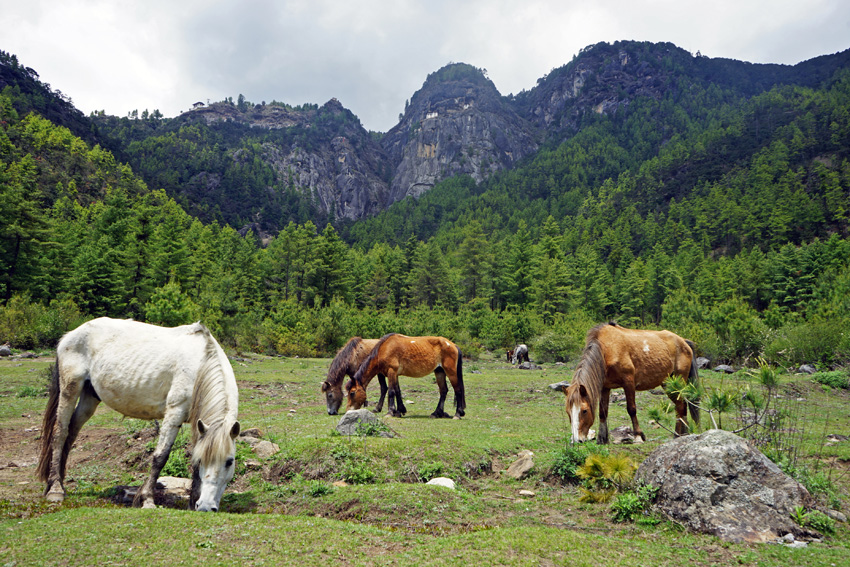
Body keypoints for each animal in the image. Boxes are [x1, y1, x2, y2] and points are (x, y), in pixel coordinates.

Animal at [38, 318, 240, 512]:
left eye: (229, 462)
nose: (206, 506)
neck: (200, 363)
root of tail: (71, 335)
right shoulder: (174, 413)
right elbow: (160, 457)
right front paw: (147, 499)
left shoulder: (199, 424)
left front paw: (192, 503)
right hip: (70, 390)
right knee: (60, 433)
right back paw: (55, 489)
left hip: (89, 398)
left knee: (71, 433)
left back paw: (59, 481)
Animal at [564, 322, 696, 446]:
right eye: (568, 412)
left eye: (584, 411)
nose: (576, 440)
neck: (607, 349)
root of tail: (683, 342)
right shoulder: (605, 387)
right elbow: (603, 412)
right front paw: (602, 438)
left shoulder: (629, 382)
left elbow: (631, 409)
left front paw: (638, 436)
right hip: (669, 384)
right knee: (681, 405)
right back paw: (684, 433)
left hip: (678, 381)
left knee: (680, 406)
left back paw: (677, 435)